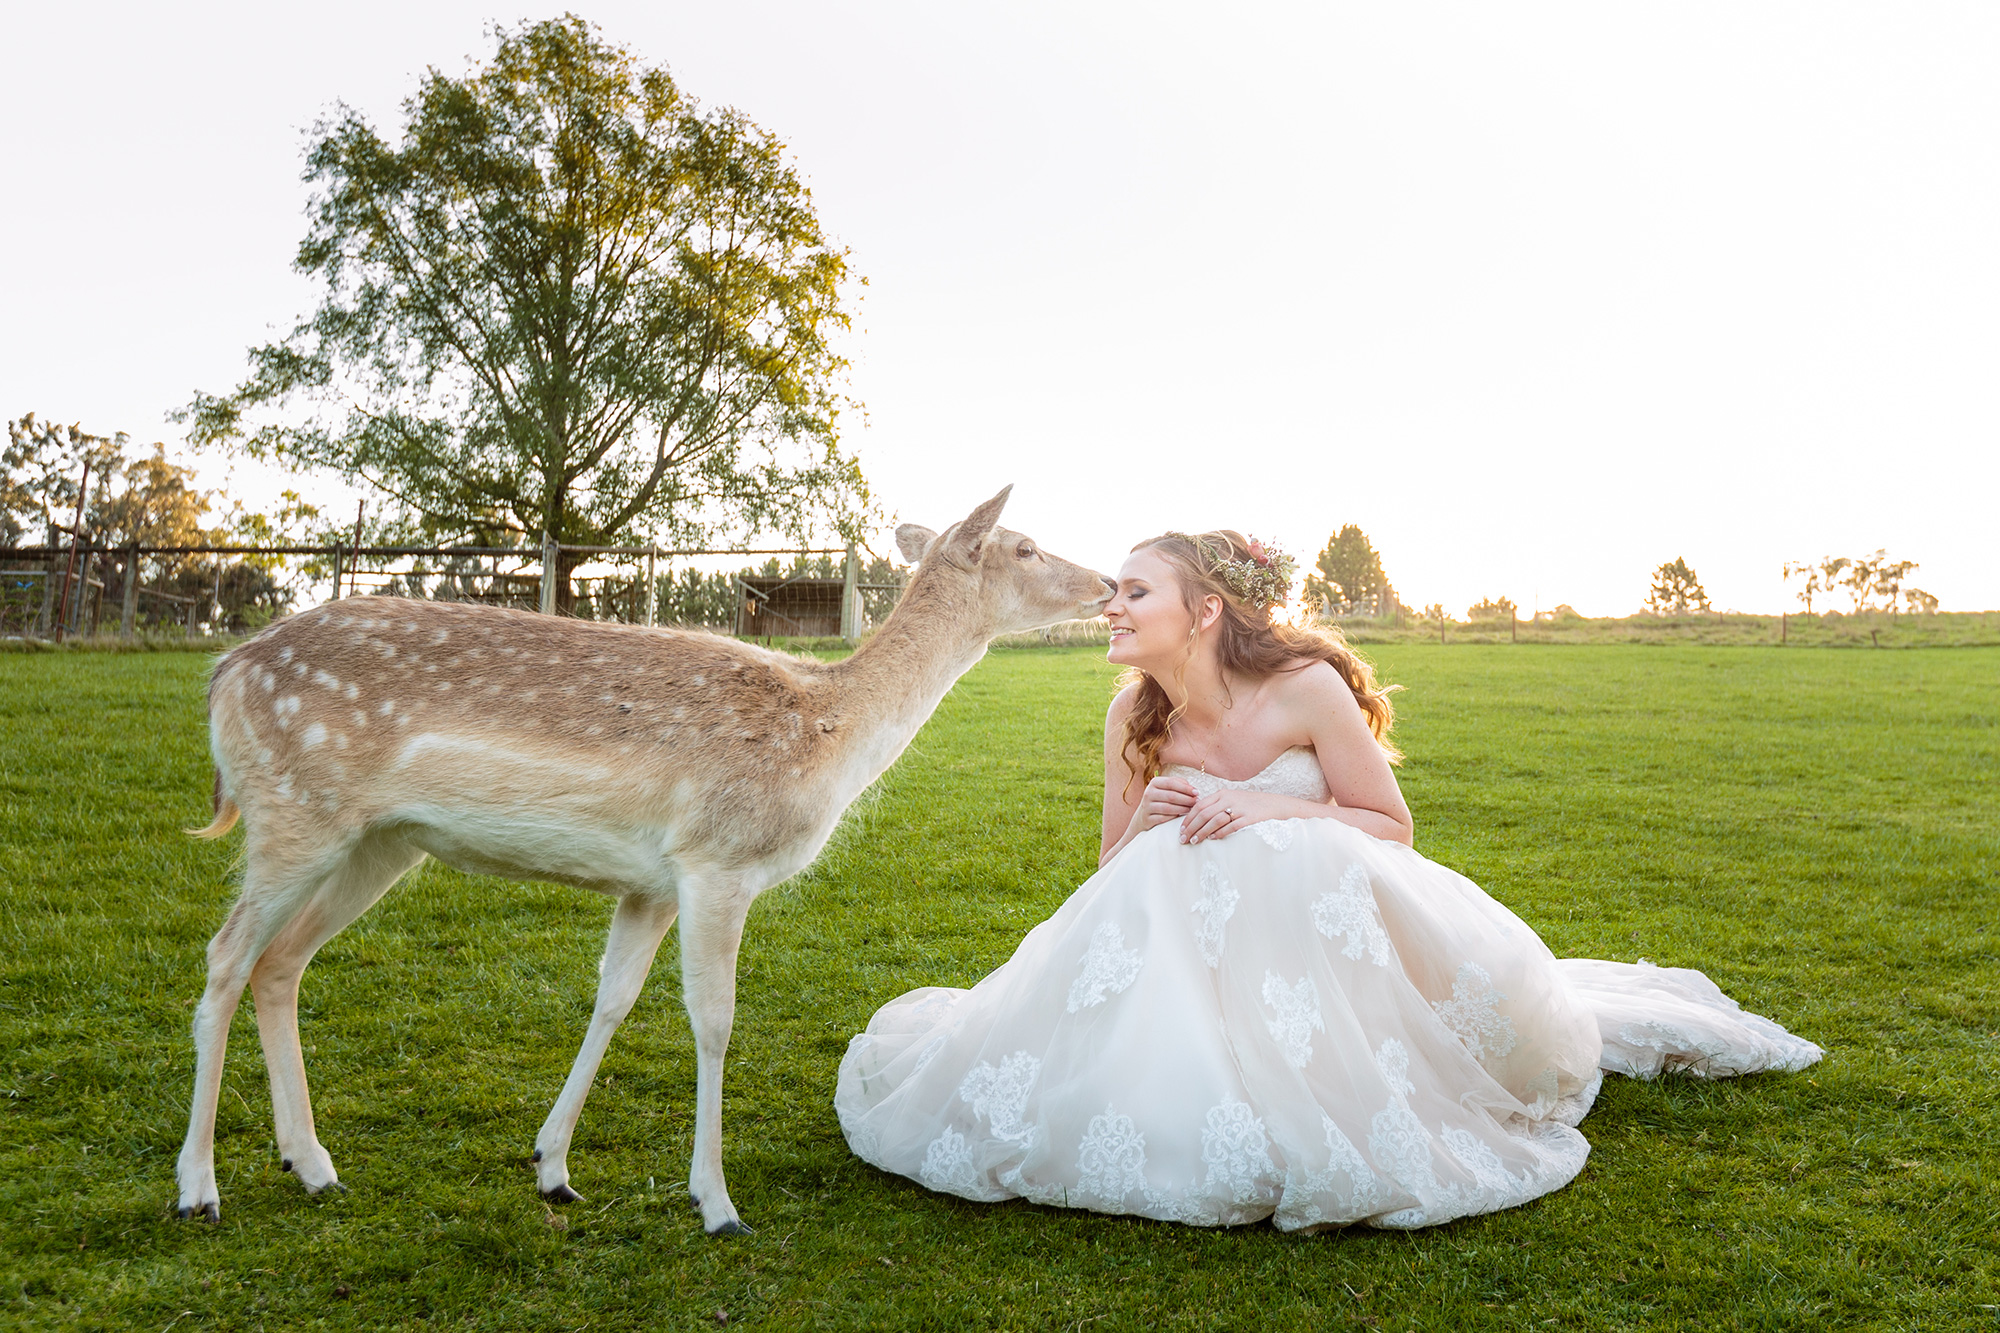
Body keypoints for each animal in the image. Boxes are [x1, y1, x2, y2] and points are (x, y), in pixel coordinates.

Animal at [178, 486, 1120, 1224]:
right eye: (1025, 544)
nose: (1110, 580)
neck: (828, 733)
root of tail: (224, 674)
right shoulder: (718, 860)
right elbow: (714, 1018)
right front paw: (717, 1201)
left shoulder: (652, 884)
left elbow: (613, 999)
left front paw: (553, 1167)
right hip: (294, 812)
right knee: (225, 954)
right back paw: (199, 1185)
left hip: (378, 841)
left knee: (280, 962)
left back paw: (313, 1164)